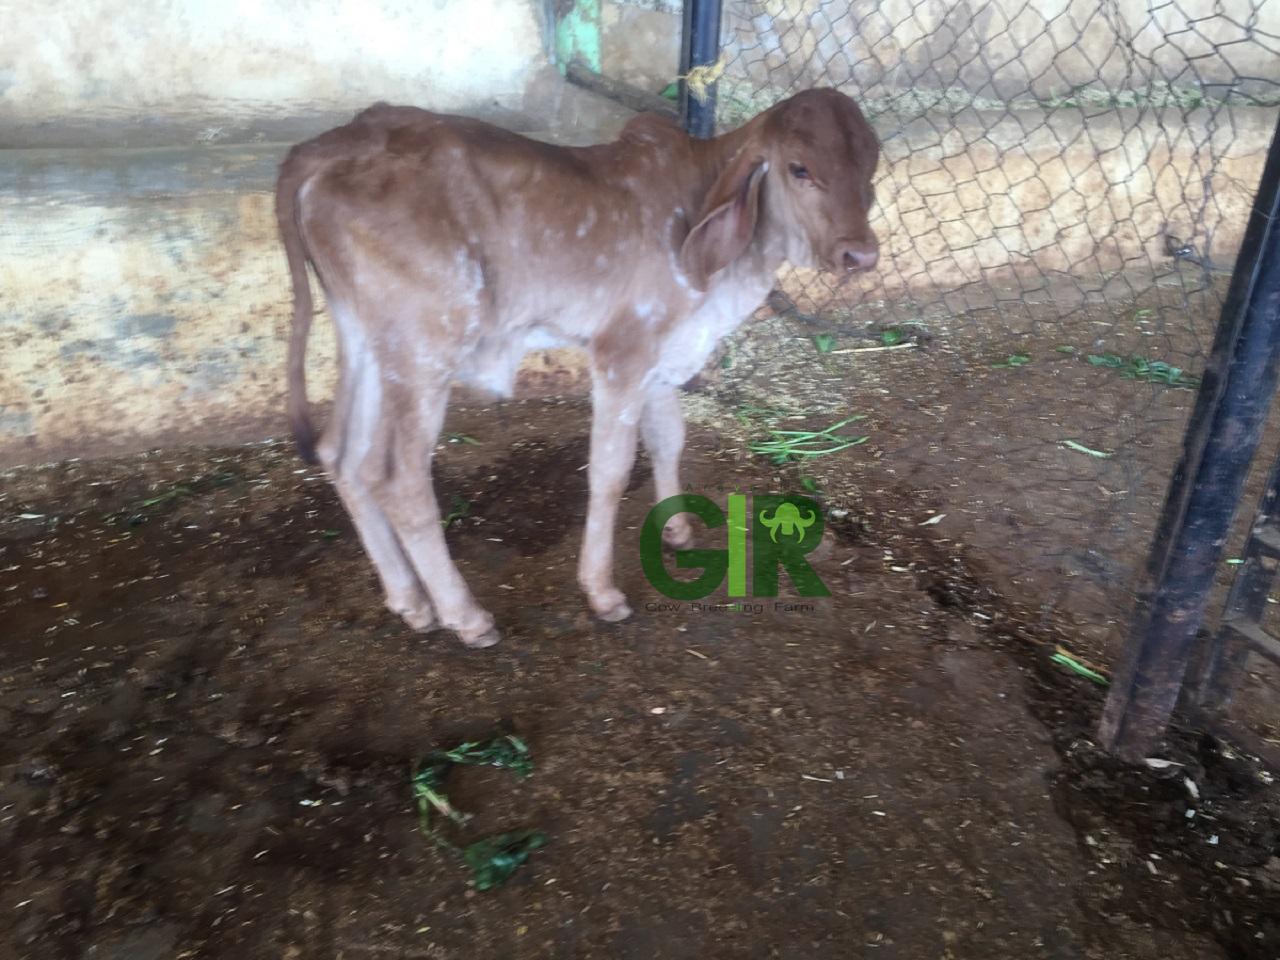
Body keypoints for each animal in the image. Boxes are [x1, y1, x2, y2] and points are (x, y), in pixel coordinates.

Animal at [274, 88, 880, 649]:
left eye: (871, 166)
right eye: (799, 168)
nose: (861, 255)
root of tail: (328, 145)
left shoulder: (663, 348)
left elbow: (668, 438)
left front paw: (678, 529)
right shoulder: (623, 349)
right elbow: (610, 471)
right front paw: (602, 591)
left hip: (364, 339)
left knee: (342, 455)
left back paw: (409, 600)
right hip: (426, 346)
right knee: (398, 479)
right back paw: (464, 616)